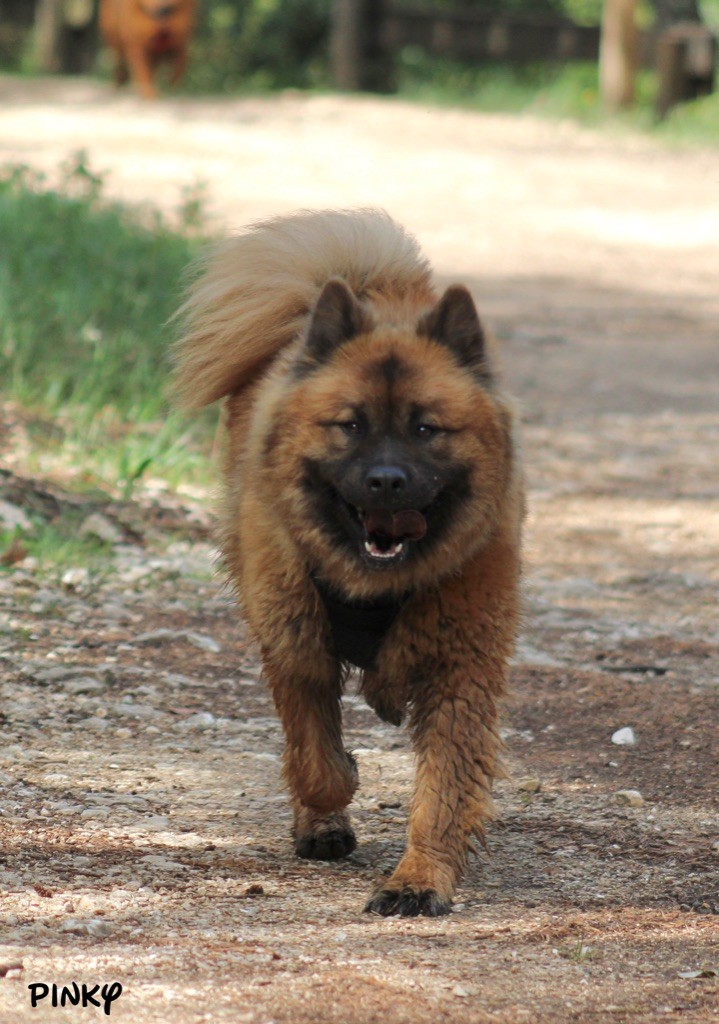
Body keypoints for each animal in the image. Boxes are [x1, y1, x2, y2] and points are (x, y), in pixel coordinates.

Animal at [174, 209, 524, 921]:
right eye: (350, 425)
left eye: (426, 429)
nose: (386, 482)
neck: (378, 585)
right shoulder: (294, 640)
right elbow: (317, 758)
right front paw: (330, 804)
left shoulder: (459, 669)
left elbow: (443, 787)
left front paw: (418, 879)